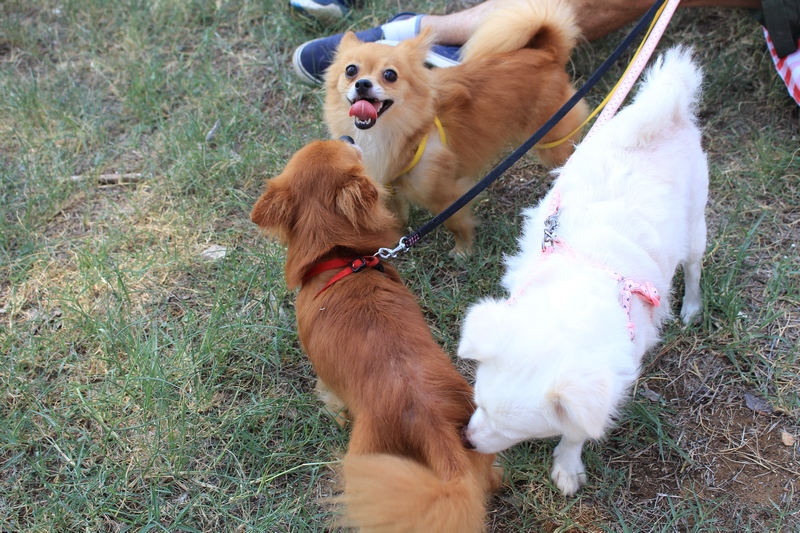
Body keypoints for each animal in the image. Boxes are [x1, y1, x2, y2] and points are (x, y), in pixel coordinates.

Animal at [250, 138, 500, 532]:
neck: (340, 259)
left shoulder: (327, 379)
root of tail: (429, 420)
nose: (350, 138)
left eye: (344, 147)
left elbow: (329, 397)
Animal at [460, 47, 708, 496]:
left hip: (696, 222)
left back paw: (692, 307)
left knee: (695, 264)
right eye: (478, 404)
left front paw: (567, 464)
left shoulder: (611, 378)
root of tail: (667, 110)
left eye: (514, 432)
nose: (466, 440)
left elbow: (576, 430)